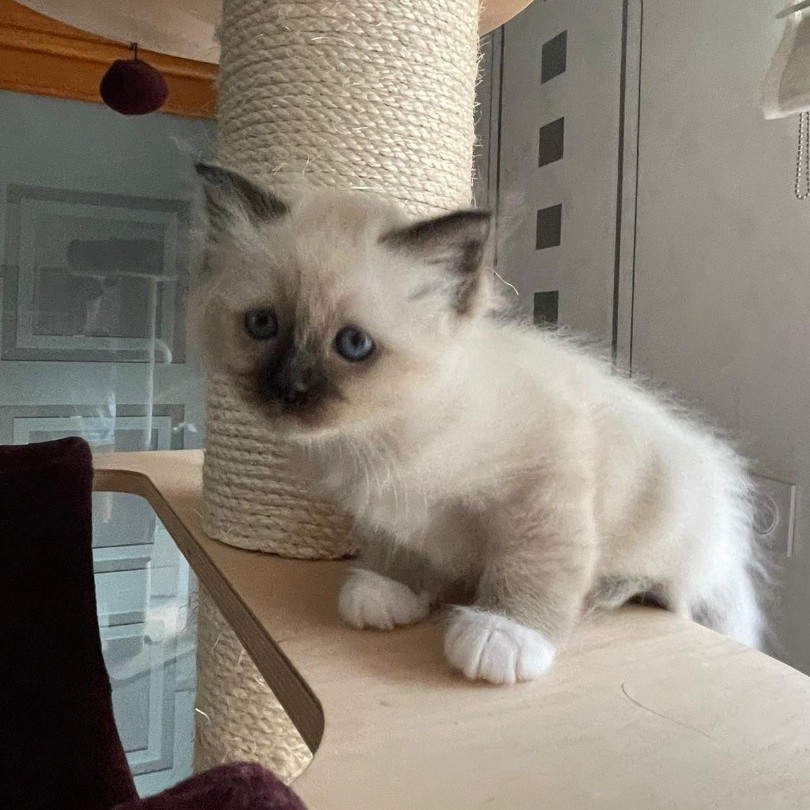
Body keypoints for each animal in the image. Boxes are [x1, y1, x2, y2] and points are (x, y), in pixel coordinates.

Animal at [193, 163, 760, 680]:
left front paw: (502, 634)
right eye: (262, 325)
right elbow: (403, 550)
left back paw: (611, 589)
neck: (382, 435)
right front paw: (388, 589)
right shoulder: (400, 510)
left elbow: (533, 565)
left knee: (675, 589)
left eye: (353, 345)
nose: (288, 389)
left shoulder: (546, 481)